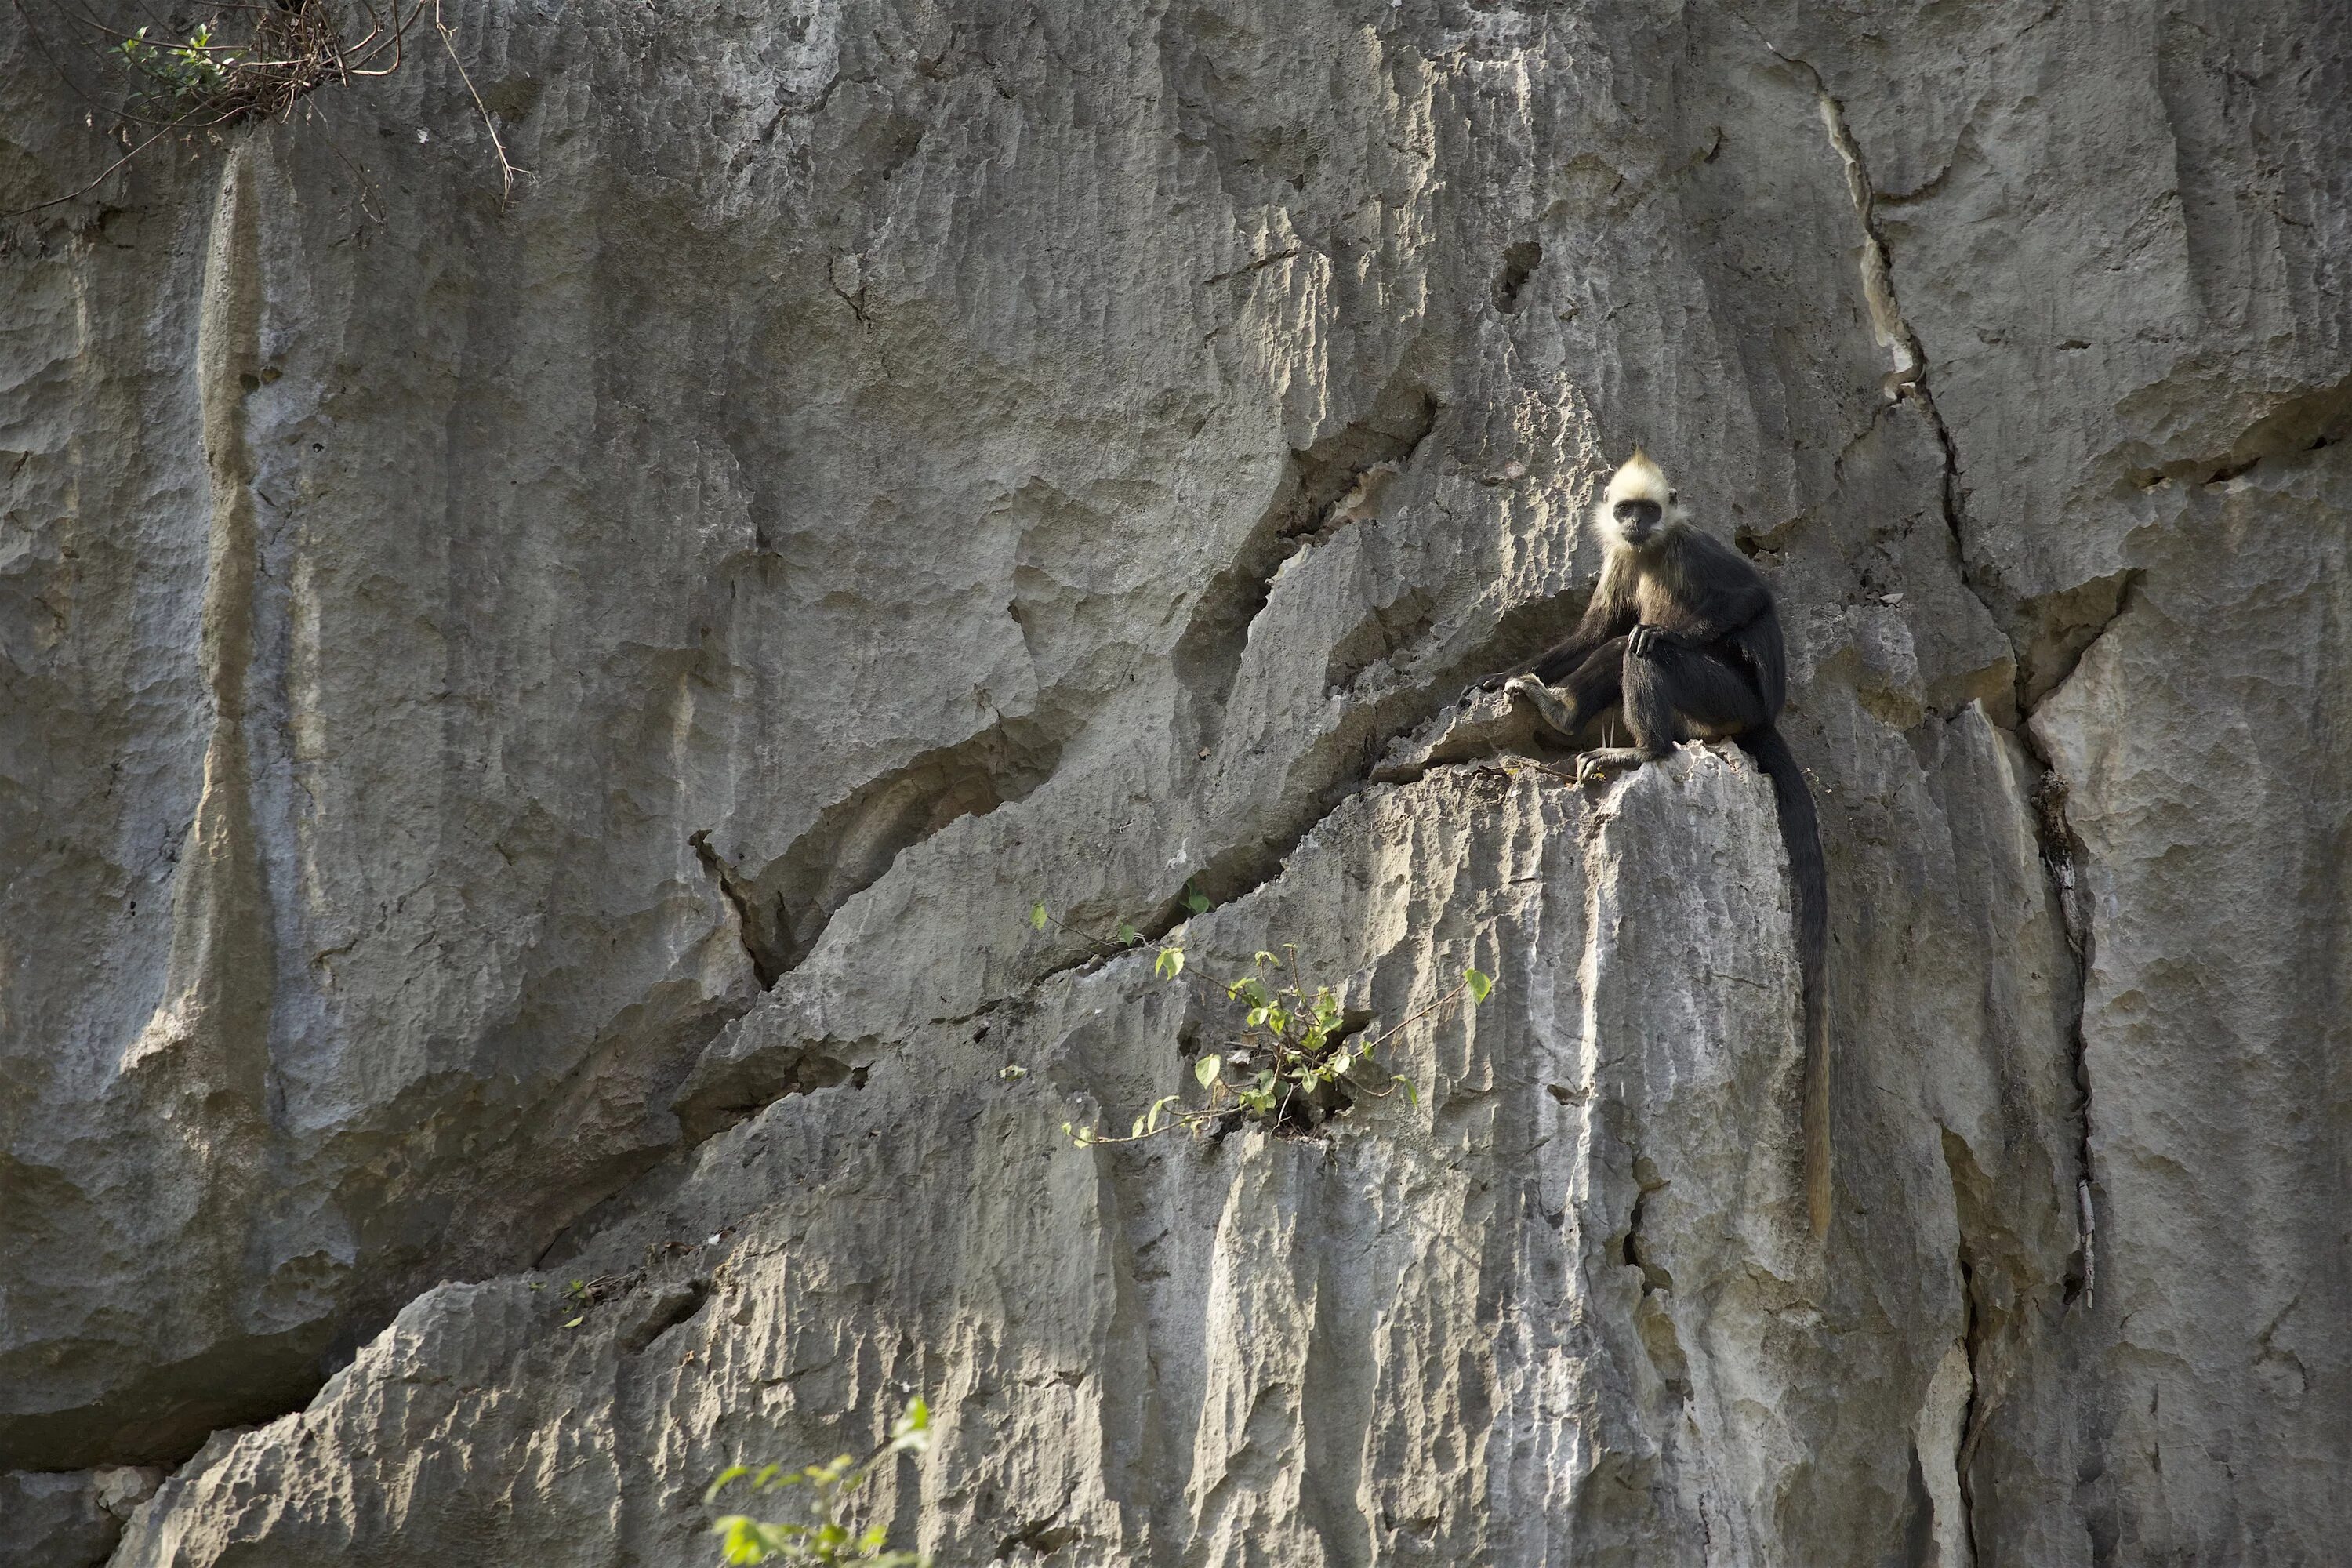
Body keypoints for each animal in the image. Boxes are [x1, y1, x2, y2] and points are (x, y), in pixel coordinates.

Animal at [1468, 453, 1835, 1241]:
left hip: (1725, 699)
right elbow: (1594, 629)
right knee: (1616, 643)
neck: (1647, 551)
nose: (1635, 524)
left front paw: (1671, 638)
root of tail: (1759, 719)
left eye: (1648, 511)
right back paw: (1562, 711)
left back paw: (1644, 746)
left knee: (1646, 652)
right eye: (1625, 512)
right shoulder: (1620, 560)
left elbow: (1748, 596)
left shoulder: (1691, 549)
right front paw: (1508, 677)